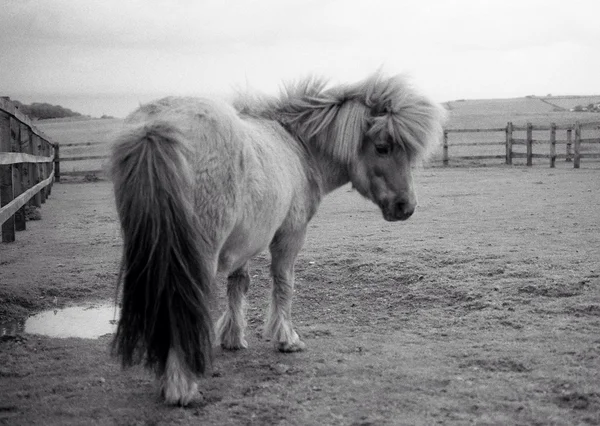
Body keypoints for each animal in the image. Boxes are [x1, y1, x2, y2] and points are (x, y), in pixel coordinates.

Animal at [109, 71, 446, 404]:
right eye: (383, 147)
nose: (406, 206)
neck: (296, 146)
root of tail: (156, 126)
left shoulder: (242, 244)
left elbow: (238, 285)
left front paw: (233, 337)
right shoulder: (290, 234)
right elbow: (284, 284)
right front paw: (287, 339)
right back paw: (183, 387)